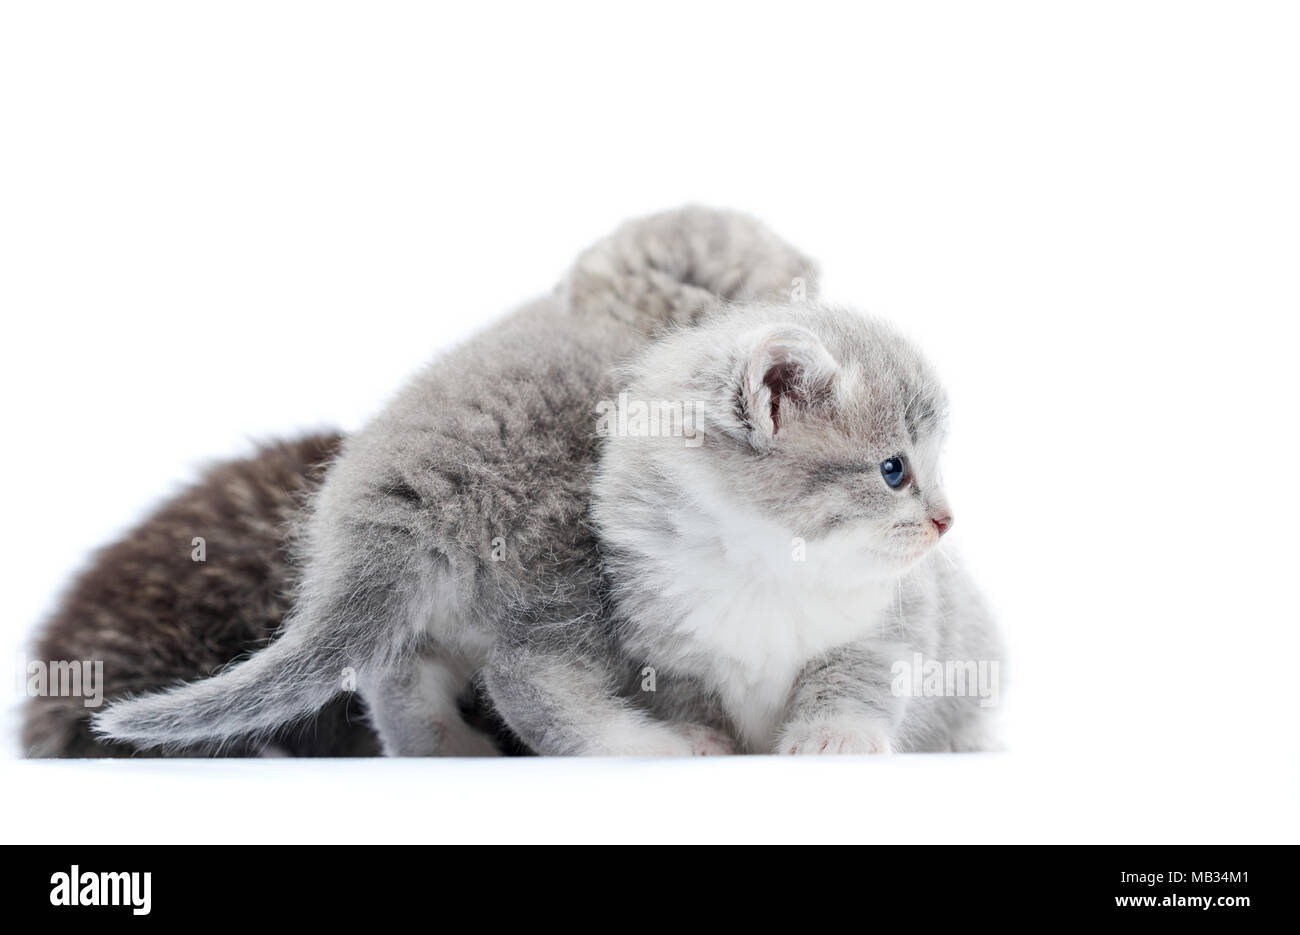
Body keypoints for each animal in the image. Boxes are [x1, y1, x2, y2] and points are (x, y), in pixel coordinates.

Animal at [96, 206, 816, 759]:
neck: (613, 308)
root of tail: (403, 495)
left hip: (421, 622)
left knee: (396, 682)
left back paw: (449, 747)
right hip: (571, 579)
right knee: (527, 680)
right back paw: (659, 745)